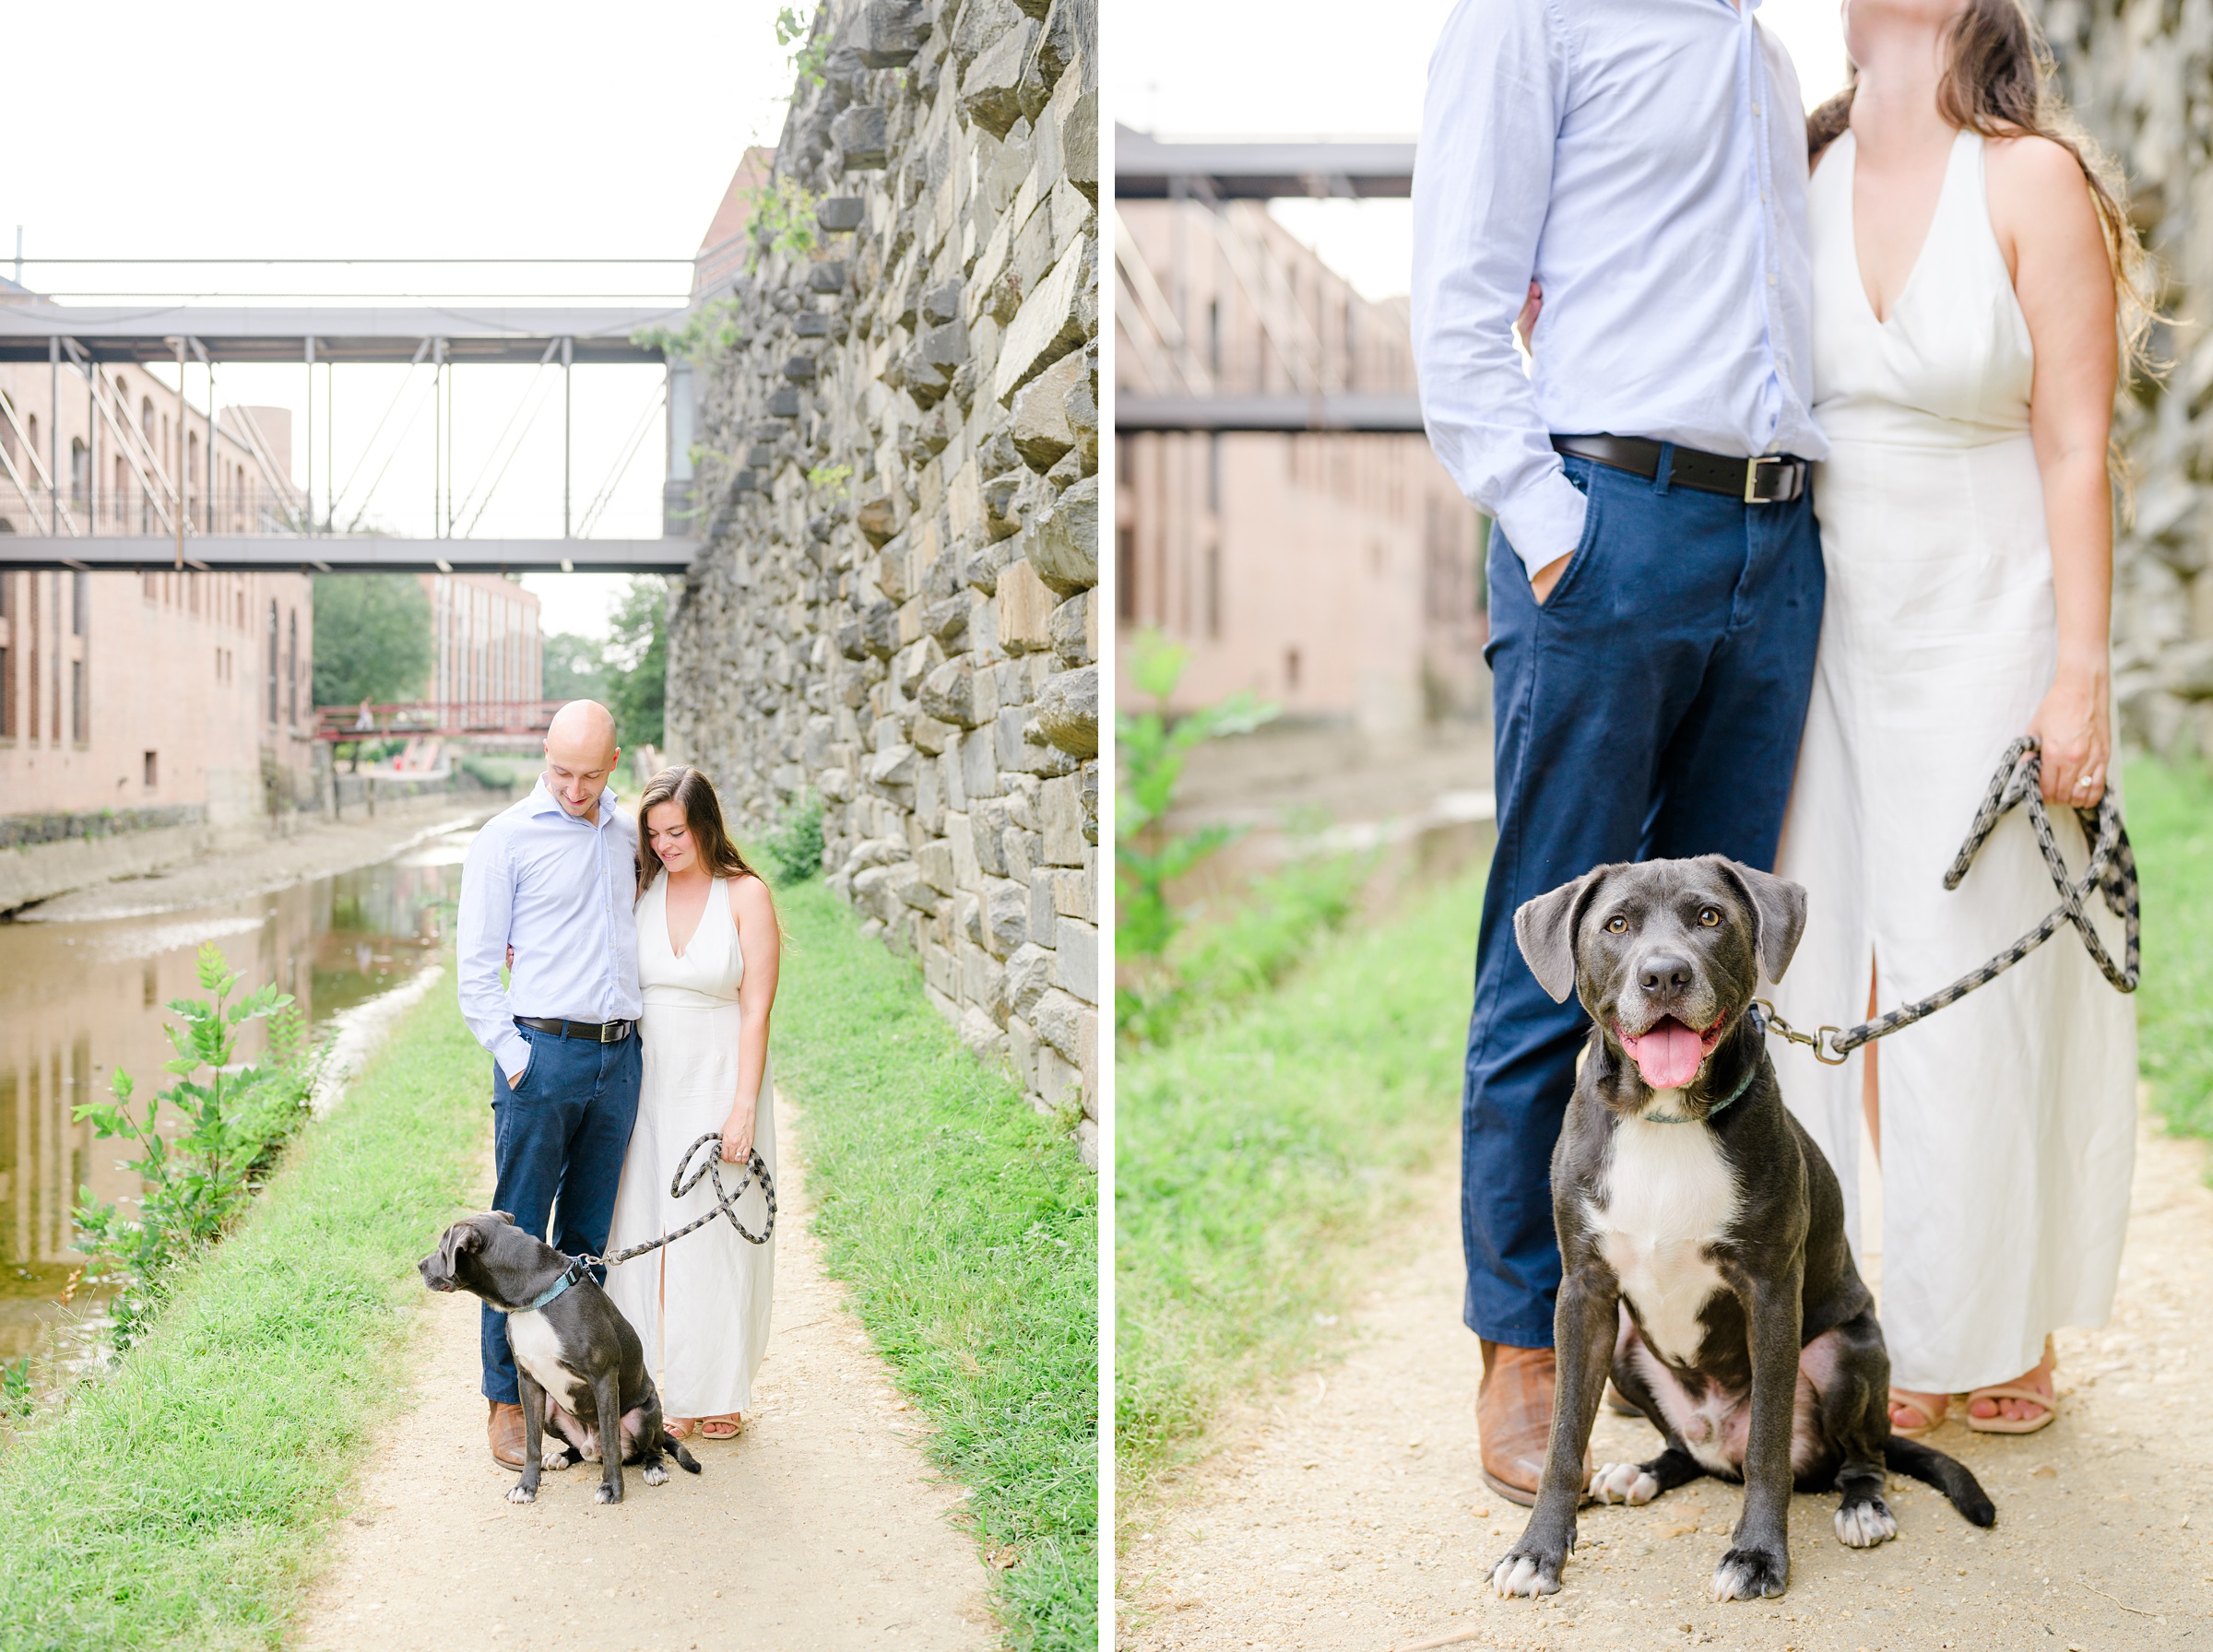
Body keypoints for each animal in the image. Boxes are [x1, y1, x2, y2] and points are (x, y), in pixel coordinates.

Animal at [411, 1211, 694, 1504]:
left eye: (443, 1248)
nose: (419, 1265)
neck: (535, 1300)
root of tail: (590, 1447)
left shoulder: (603, 1378)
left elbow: (611, 1443)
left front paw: (612, 1488)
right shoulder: (527, 1382)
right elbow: (531, 1444)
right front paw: (526, 1486)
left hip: (642, 1416)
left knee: (649, 1448)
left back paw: (654, 1468)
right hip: (551, 1410)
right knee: (580, 1449)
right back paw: (562, 1456)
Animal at [1486, 857, 1992, 1610]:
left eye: (1709, 917)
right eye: (1616, 924)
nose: (1664, 975)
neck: (1666, 1118)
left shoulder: (1770, 1293)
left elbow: (1767, 1448)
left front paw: (1757, 1555)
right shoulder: (1584, 1295)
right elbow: (1563, 1438)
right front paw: (1536, 1553)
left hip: (1843, 1350)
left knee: (1855, 1455)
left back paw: (1862, 1505)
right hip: (1626, 1351)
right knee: (1688, 1451)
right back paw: (1643, 1471)